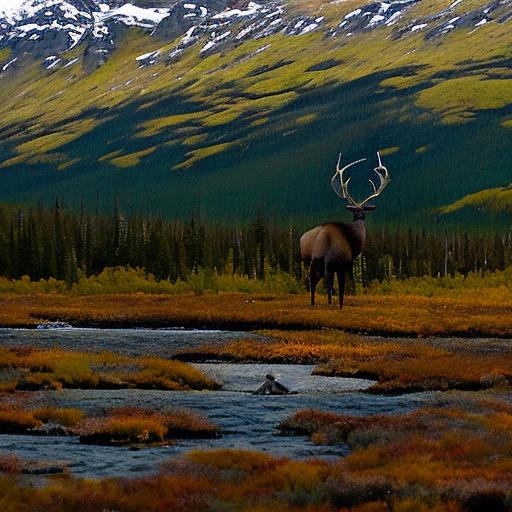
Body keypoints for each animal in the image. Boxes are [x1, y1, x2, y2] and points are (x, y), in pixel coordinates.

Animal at [300, 152, 388, 308]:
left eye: (362, 212)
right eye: (355, 213)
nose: (360, 216)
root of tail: (302, 238)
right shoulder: (338, 263)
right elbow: (338, 284)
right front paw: (335, 302)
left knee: (315, 281)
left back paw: (314, 302)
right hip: (320, 261)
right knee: (317, 281)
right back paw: (320, 302)